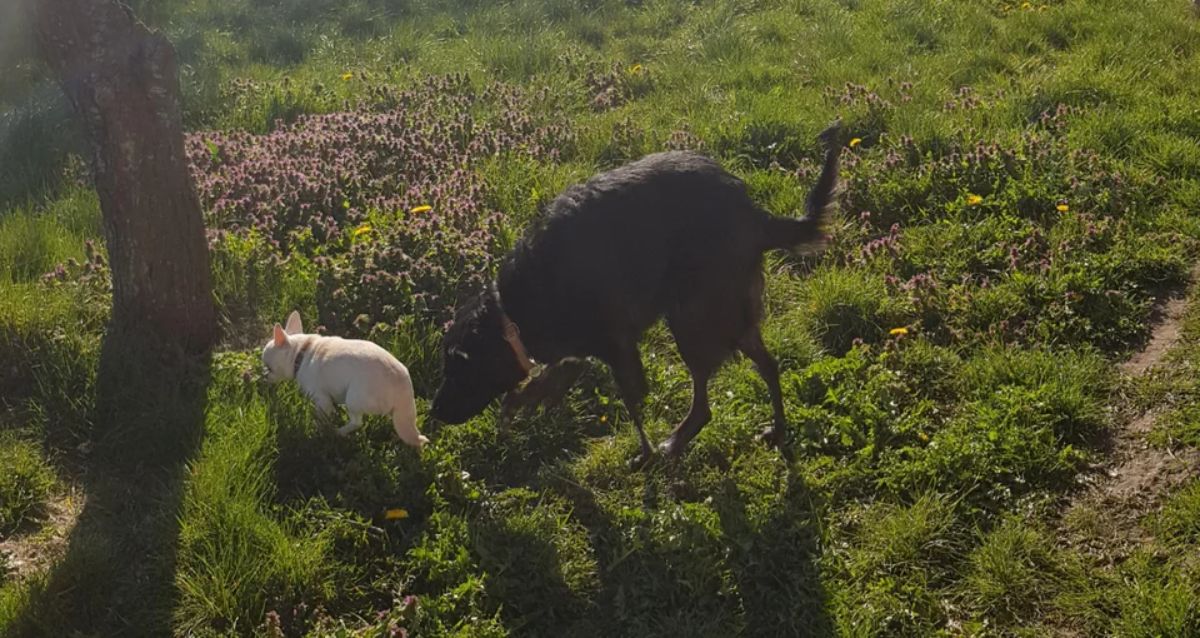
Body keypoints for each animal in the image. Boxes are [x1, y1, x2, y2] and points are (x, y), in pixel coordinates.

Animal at [434, 122, 844, 465]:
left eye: (459, 369)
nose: (435, 412)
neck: (515, 309)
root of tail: (754, 215)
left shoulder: (619, 349)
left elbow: (632, 405)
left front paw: (643, 454)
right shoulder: (583, 349)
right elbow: (552, 376)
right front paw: (528, 399)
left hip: (693, 321)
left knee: (704, 404)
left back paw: (673, 444)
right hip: (730, 317)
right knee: (768, 367)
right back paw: (777, 430)